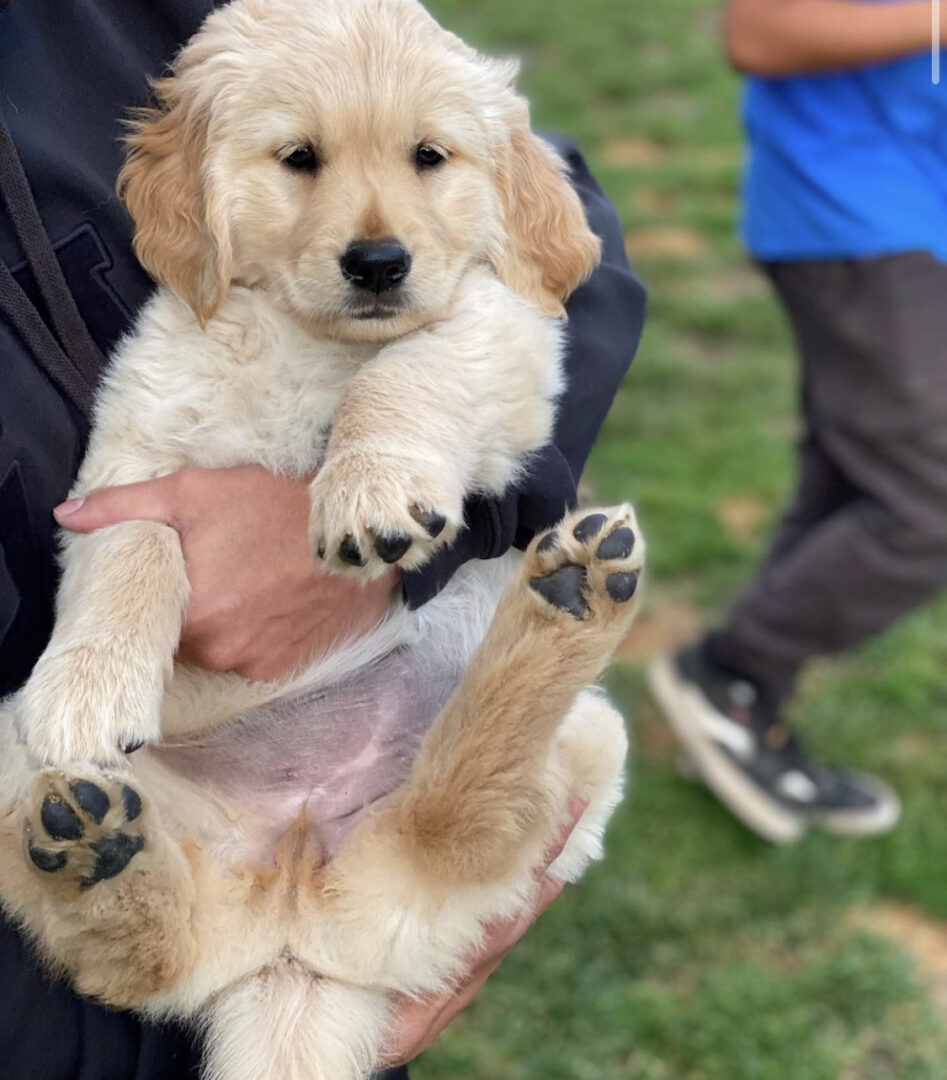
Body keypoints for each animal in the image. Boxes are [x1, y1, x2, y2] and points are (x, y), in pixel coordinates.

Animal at [0, 2, 643, 1080]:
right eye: (299, 158)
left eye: (429, 157)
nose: (378, 263)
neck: (308, 343)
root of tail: (294, 920)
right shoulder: (132, 447)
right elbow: (139, 546)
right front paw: (90, 685)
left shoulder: (503, 333)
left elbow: (406, 369)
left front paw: (368, 489)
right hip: (16, 760)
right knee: (141, 949)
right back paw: (93, 844)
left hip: (582, 751)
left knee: (466, 815)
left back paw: (571, 590)